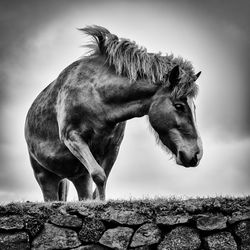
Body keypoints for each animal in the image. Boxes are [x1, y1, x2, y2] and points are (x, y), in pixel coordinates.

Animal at [24, 25, 202, 201]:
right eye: (179, 106)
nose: (197, 154)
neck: (96, 96)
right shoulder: (72, 137)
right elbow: (99, 175)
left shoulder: (113, 148)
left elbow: (101, 182)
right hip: (46, 177)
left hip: (79, 176)